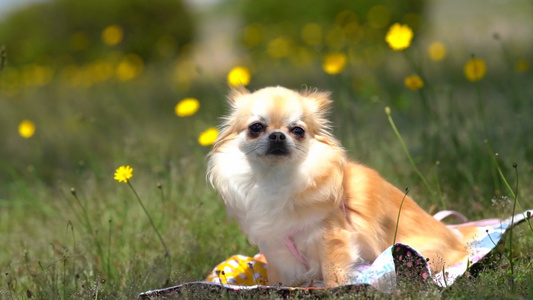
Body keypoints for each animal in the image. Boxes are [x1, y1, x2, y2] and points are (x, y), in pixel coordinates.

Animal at [207, 86, 466, 286]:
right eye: (256, 127)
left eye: (298, 130)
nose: (278, 135)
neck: (275, 178)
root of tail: (456, 241)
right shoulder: (277, 247)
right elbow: (279, 279)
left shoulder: (332, 238)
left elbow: (334, 274)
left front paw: (335, 290)